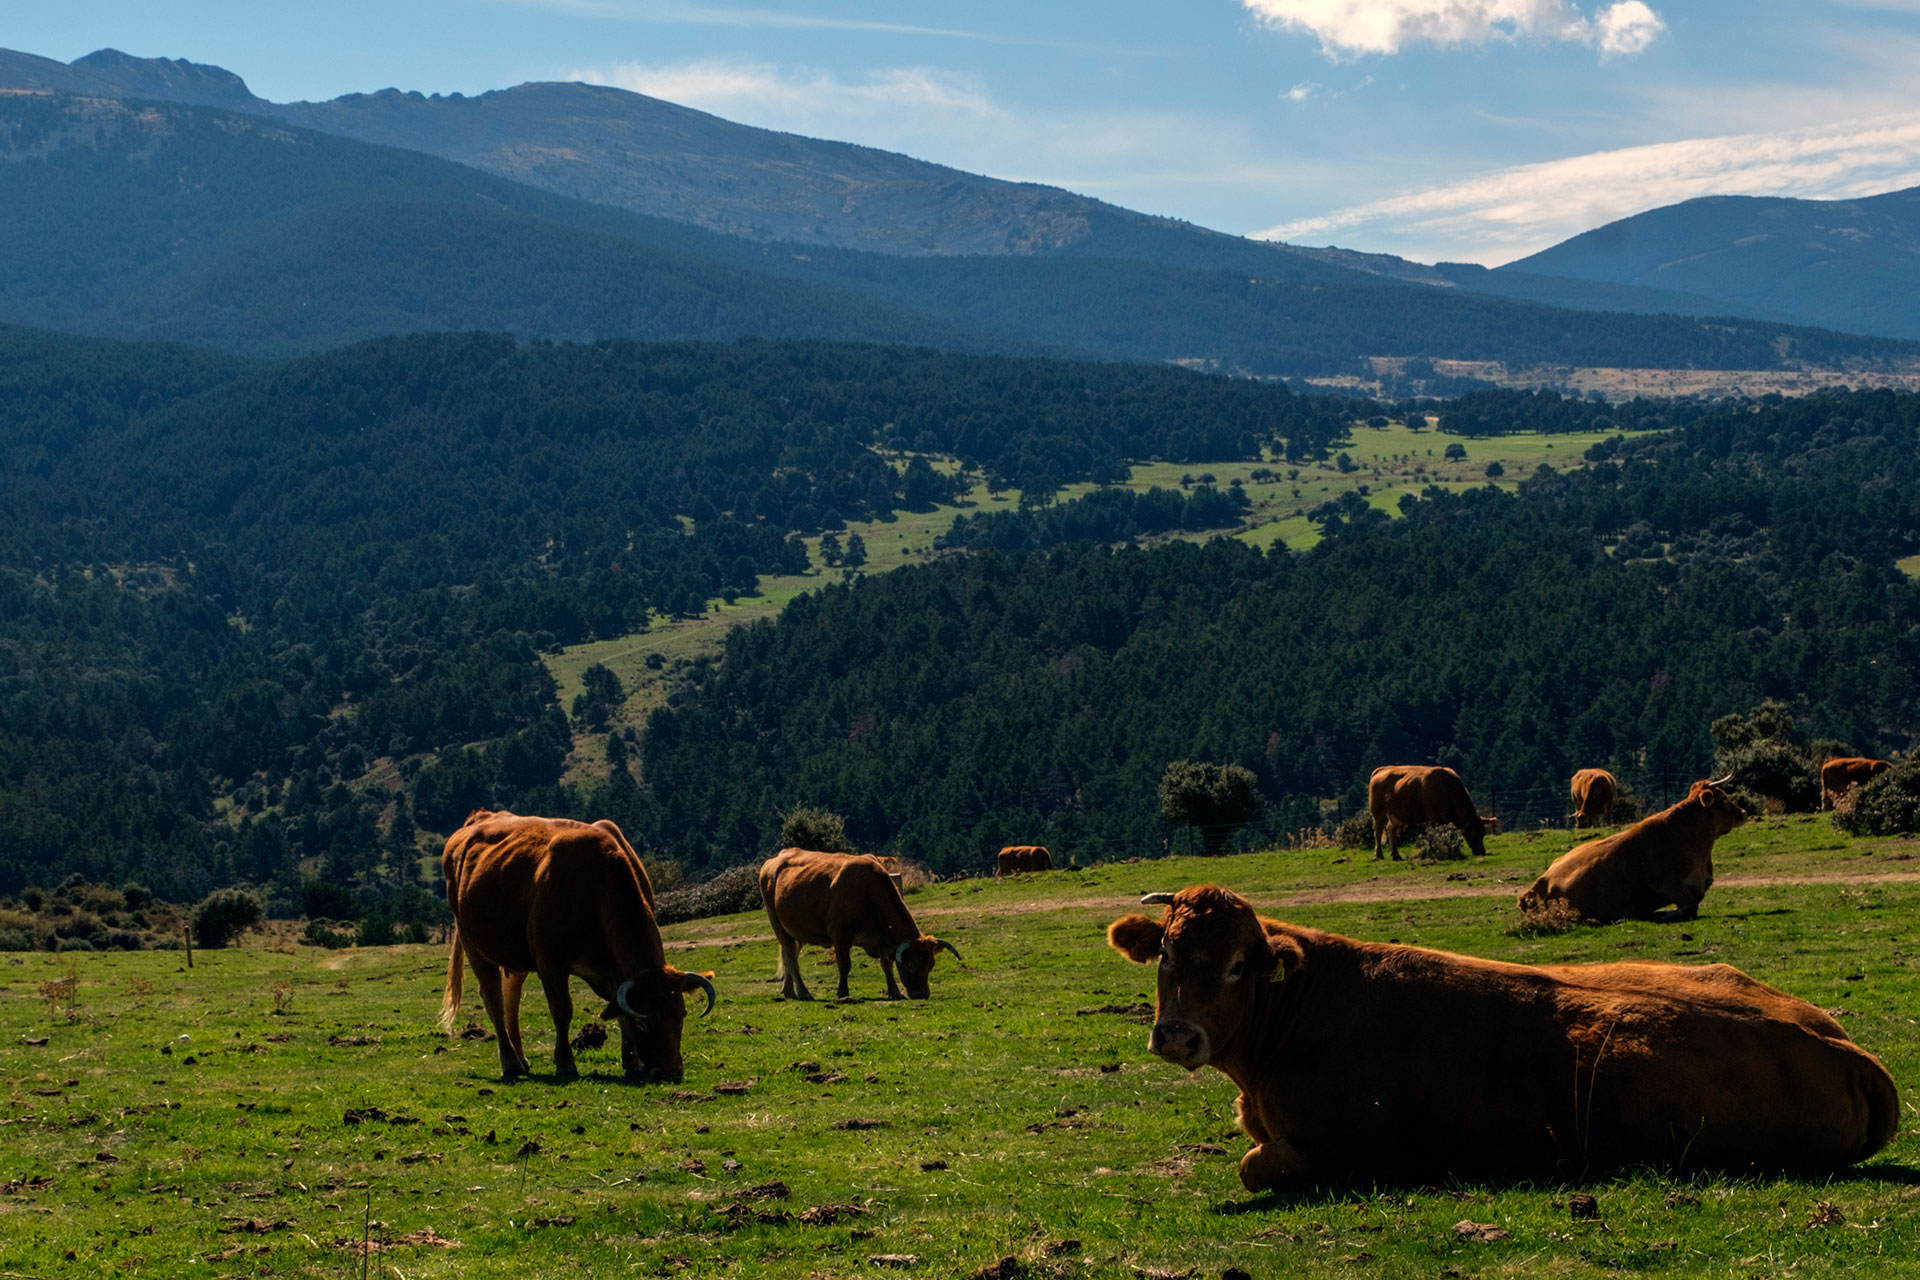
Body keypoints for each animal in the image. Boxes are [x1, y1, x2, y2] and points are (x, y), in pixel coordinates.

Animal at [439, 810, 715, 1083]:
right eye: (644, 1023)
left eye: (681, 1015)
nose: (670, 1072)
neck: (597, 881)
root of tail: (479, 817)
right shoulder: (550, 962)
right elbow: (562, 1010)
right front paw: (565, 1064)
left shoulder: (615, 968)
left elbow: (619, 1009)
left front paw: (632, 1064)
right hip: (473, 944)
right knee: (494, 1000)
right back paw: (510, 1063)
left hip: (514, 953)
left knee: (511, 998)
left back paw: (521, 1058)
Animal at [759, 847, 962, 1000]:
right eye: (910, 965)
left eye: (930, 965)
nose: (922, 994)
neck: (869, 892)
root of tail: (775, 860)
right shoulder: (840, 935)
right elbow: (844, 965)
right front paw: (842, 993)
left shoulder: (882, 940)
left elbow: (886, 965)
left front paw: (895, 992)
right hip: (777, 923)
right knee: (791, 958)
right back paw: (803, 992)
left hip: (797, 930)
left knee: (788, 955)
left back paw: (788, 991)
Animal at [1107, 885, 1897, 1189]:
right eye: (1167, 954)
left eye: (1239, 964)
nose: (1175, 1035)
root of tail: (1846, 1048)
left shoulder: (1340, 1149)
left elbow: (1252, 1166)